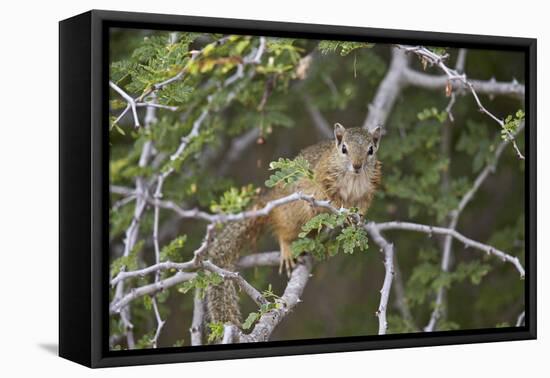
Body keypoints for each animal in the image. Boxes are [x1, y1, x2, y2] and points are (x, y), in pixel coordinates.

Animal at [207, 124, 384, 330]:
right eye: (344, 148)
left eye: (371, 150)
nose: (357, 165)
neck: (354, 178)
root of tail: (270, 199)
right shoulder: (323, 178)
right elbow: (332, 198)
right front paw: (344, 212)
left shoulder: (368, 190)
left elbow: (362, 205)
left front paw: (359, 218)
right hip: (292, 215)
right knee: (284, 233)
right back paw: (287, 250)